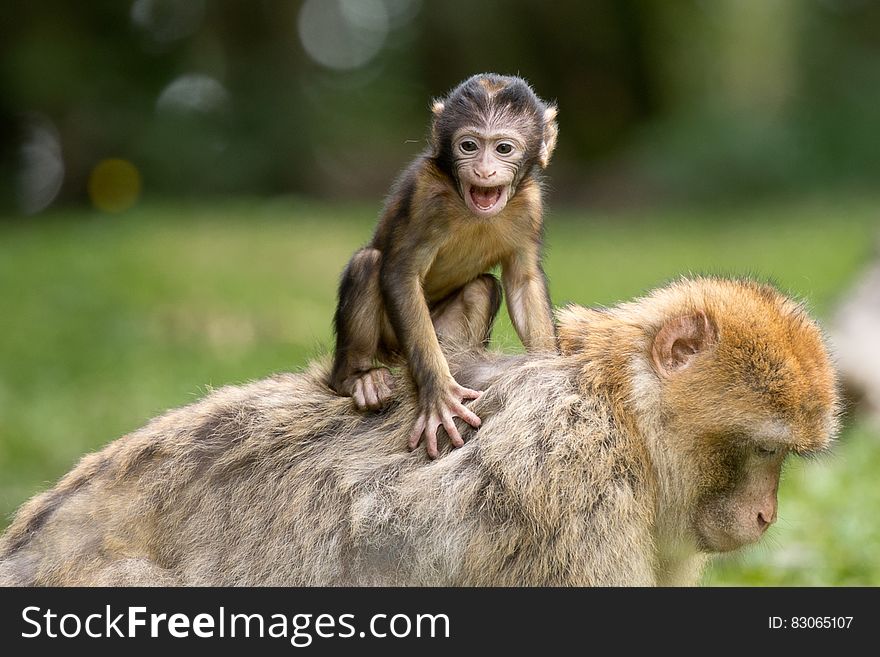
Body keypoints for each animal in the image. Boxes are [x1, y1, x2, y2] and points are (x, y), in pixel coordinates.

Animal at [330, 72, 556, 456]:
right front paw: (438, 394)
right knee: (368, 263)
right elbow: (401, 274)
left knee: (482, 288)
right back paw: (357, 379)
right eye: (469, 146)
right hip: (391, 342)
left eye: (503, 149)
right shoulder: (426, 195)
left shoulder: (530, 205)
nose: (483, 170)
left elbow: (522, 281)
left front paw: (548, 374)